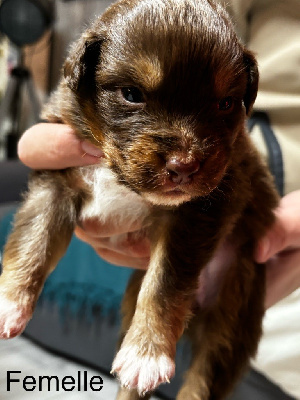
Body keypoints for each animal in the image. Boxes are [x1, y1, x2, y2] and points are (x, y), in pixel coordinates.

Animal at [0, 0, 278, 398]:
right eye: (132, 94)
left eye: (225, 103)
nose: (184, 166)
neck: (117, 174)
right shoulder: (56, 181)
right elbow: (34, 240)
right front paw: (8, 303)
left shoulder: (195, 214)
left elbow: (164, 283)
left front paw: (148, 353)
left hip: (234, 311)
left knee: (203, 377)